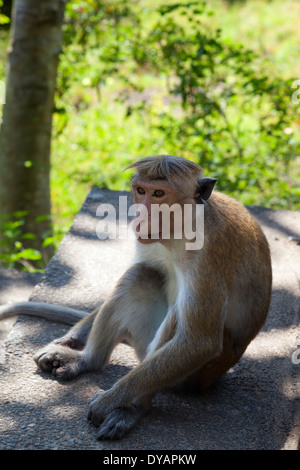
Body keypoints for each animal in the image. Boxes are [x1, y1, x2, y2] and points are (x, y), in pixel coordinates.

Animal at [0, 155, 272, 440]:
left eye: (159, 194)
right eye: (141, 190)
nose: (141, 215)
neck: (183, 228)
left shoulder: (208, 255)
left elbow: (200, 341)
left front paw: (110, 400)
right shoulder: (148, 240)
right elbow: (143, 270)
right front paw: (71, 339)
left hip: (198, 374)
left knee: (178, 319)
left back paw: (133, 408)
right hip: (145, 345)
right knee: (140, 275)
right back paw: (86, 361)